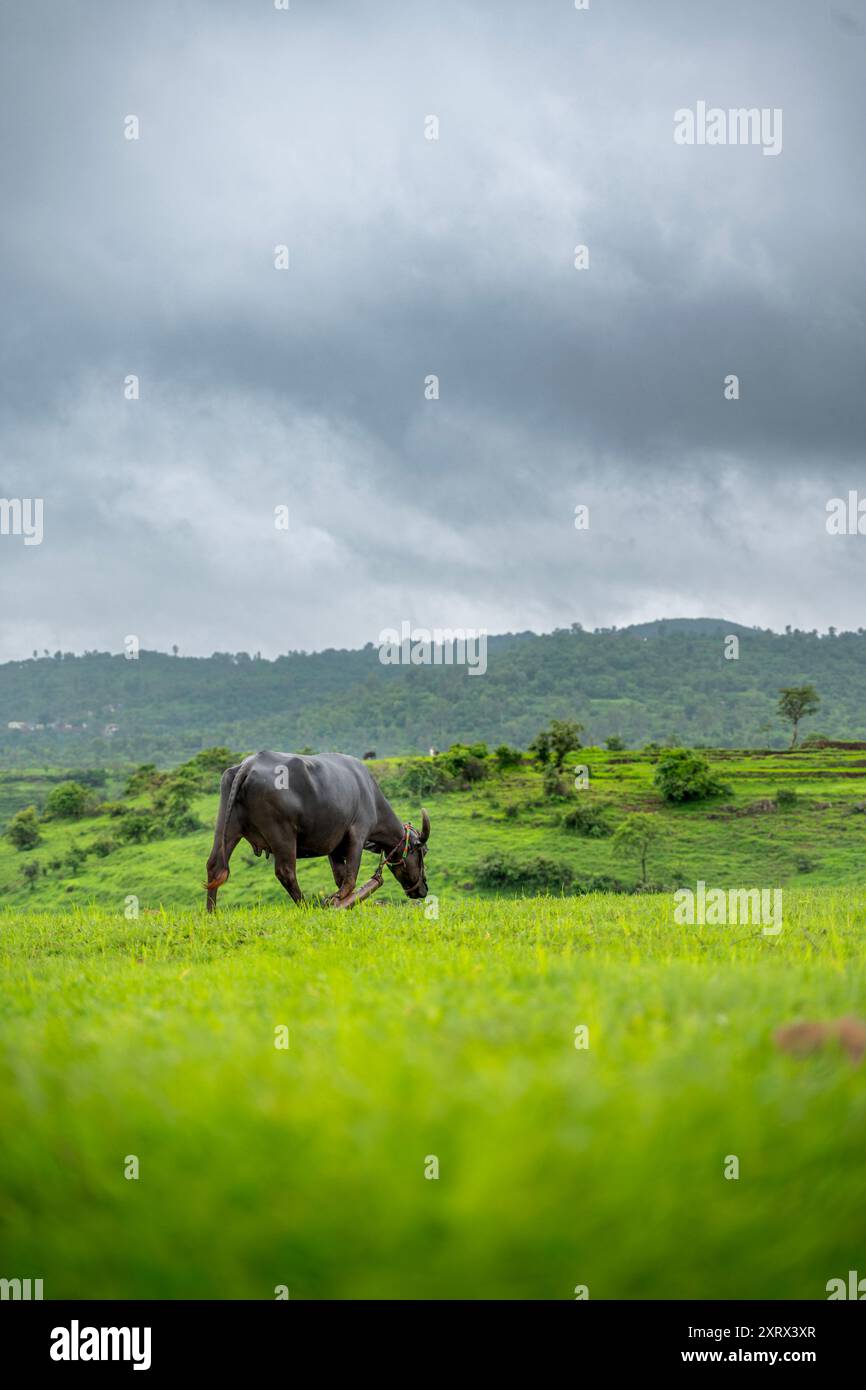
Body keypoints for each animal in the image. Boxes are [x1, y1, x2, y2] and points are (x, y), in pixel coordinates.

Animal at [204, 750, 433, 911]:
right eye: (422, 851)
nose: (423, 889)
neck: (370, 795)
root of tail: (249, 764)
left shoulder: (335, 847)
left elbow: (340, 876)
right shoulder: (357, 834)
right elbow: (350, 876)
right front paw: (337, 900)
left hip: (227, 826)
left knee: (215, 866)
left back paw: (211, 913)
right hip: (282, 834)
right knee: (285, 871)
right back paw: (305, 906)